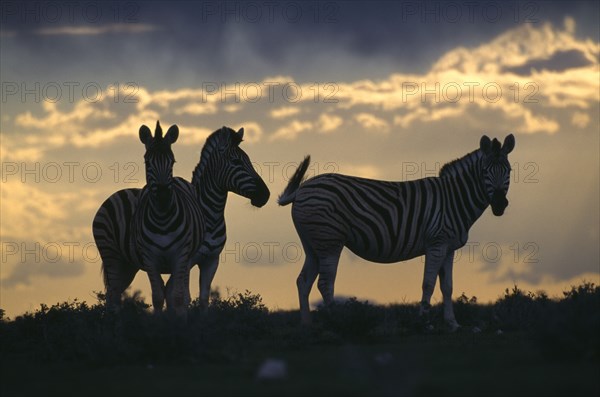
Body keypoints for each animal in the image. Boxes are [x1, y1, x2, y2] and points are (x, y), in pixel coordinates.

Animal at [92, 125, 270, 310]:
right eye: (236, 162)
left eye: (248, 160)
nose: (265, 195)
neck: (210, 214)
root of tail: (115, 194)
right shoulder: (187, 260)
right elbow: (182, 296)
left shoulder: (211, 259)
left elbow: (200, 297)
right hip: (111, 254)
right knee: (112, 292)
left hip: (128, 264)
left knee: (114, 292)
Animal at [278, 134, 512, 328]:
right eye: (485, 171)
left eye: (509, 171)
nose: (500, 205)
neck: (453, 198)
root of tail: (301, 189)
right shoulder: (436, 243)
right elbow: (428, 284)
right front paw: (424, 322)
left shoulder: (449, 247)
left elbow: (447, 286)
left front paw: (452, 324)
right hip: (329, 240)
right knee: (325, 283)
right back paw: (339, 322)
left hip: (312, 244)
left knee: (303, 281)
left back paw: (307, 326)